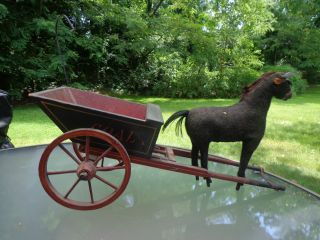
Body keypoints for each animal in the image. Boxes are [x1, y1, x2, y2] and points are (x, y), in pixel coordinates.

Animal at [162, 72, 292, 190]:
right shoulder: (252, 141)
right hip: (204, 142)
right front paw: (239, 184)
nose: (290, 95)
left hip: (195, 141)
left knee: (194, 160)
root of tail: (188, 112)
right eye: (287, 84)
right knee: (203, 164)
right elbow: (243, 164)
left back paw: (199, 178)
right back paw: (208, 180)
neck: (253, 107)